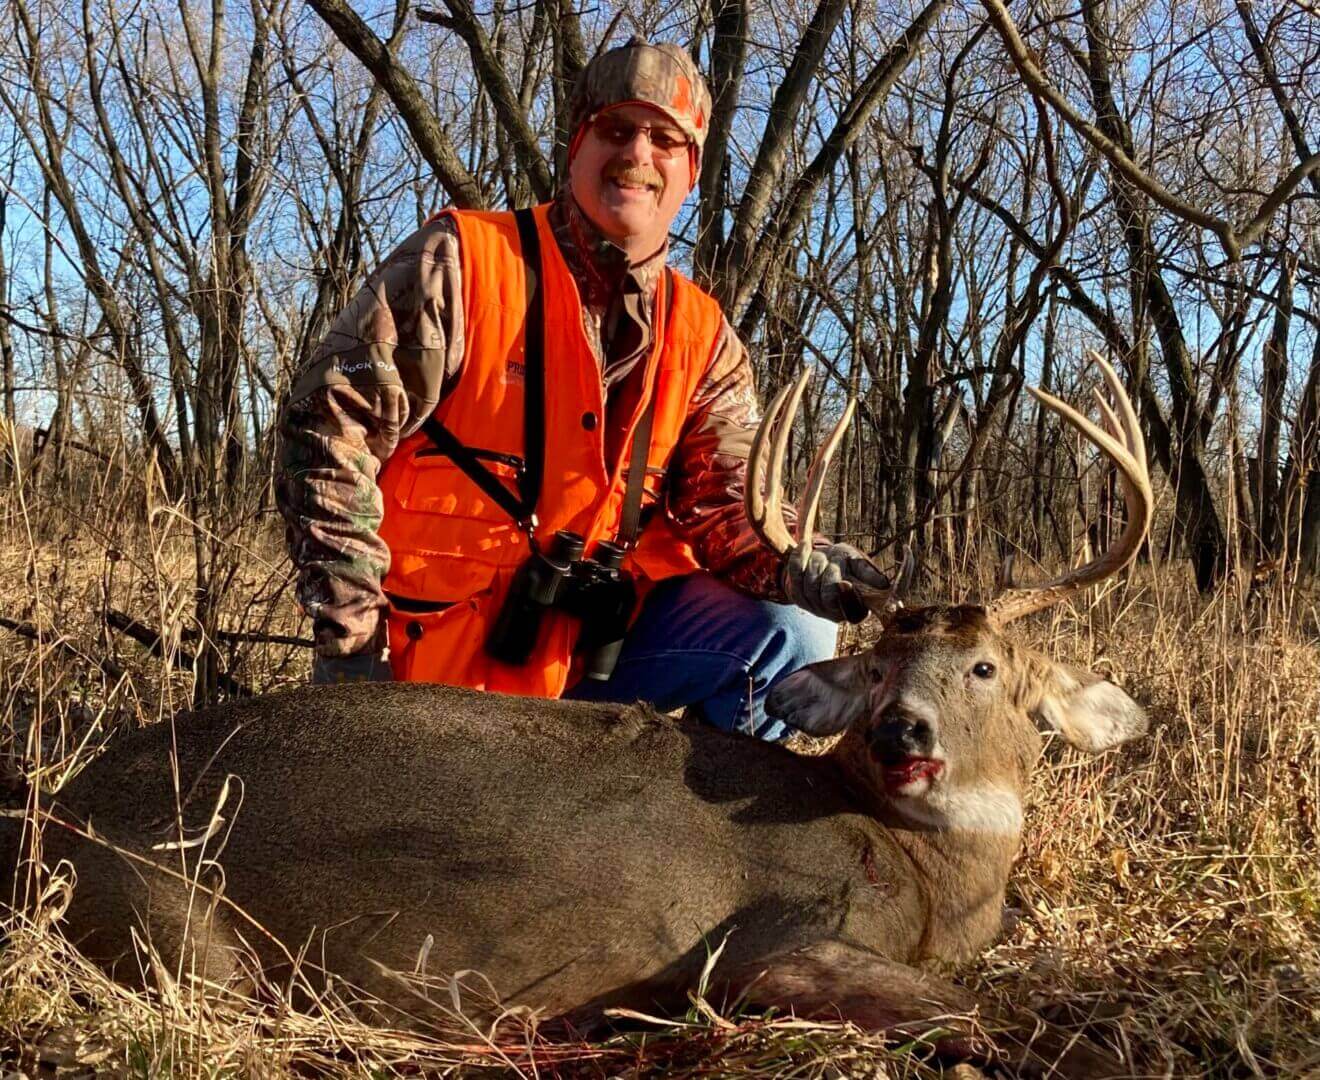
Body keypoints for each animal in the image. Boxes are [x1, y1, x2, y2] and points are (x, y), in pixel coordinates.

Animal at [3, 351, 1152, 1077]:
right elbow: (988, 1016)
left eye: (987, 667)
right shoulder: (770, 944)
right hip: (175, 928)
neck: (921, 874)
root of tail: (39, 820)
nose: (901, 732)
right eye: (879, 670)